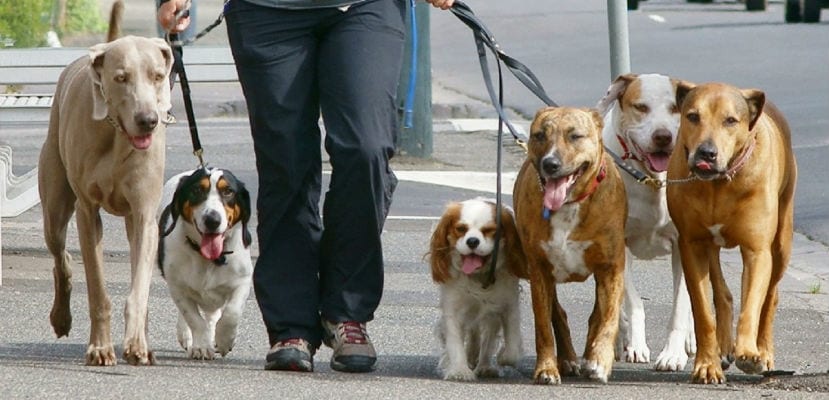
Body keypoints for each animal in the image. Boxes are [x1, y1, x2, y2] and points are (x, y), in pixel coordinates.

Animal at [516, 106, 624, 384]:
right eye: (540, 135)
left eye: (575, 136)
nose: (550, 164)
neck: (569, 204)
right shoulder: (539, 269)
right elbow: (543, 325)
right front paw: (546, 368)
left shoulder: (611, 268)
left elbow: (608, 318)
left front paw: (600, 360)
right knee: (557, 313)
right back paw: (566, 359)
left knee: (597, 315)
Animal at [668, 82, 796, 384]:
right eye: (693, 116)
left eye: (730, 120)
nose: (706, 153)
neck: (719, 183)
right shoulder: (692, 244)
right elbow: (703, 311)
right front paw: (706, 364)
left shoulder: (757, 250)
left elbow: (752, 305)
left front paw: (749, 353)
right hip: (710, 244)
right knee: (722, 292)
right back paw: (723, 348)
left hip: (782, 241)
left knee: (770, 297)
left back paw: (763, 351)